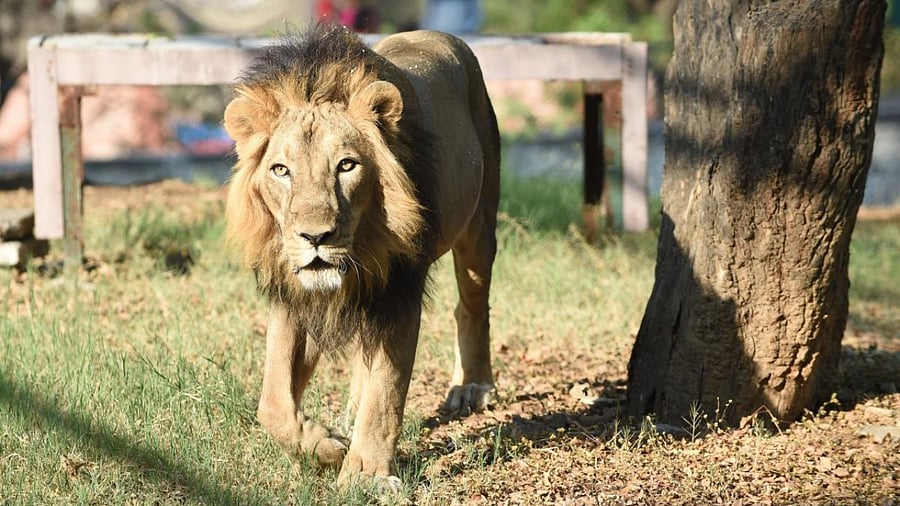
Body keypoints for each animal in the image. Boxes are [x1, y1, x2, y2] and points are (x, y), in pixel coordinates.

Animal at [223, 25, 500, 489]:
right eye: (281, 170)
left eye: (347, 166)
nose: (315, 237)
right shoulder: (294, 295)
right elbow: (272, 403)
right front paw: (327, 446)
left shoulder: (398, 292)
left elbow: (386, 393)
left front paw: (366, 475)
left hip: (479, 226)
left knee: (473, 306)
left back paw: (472, 387)